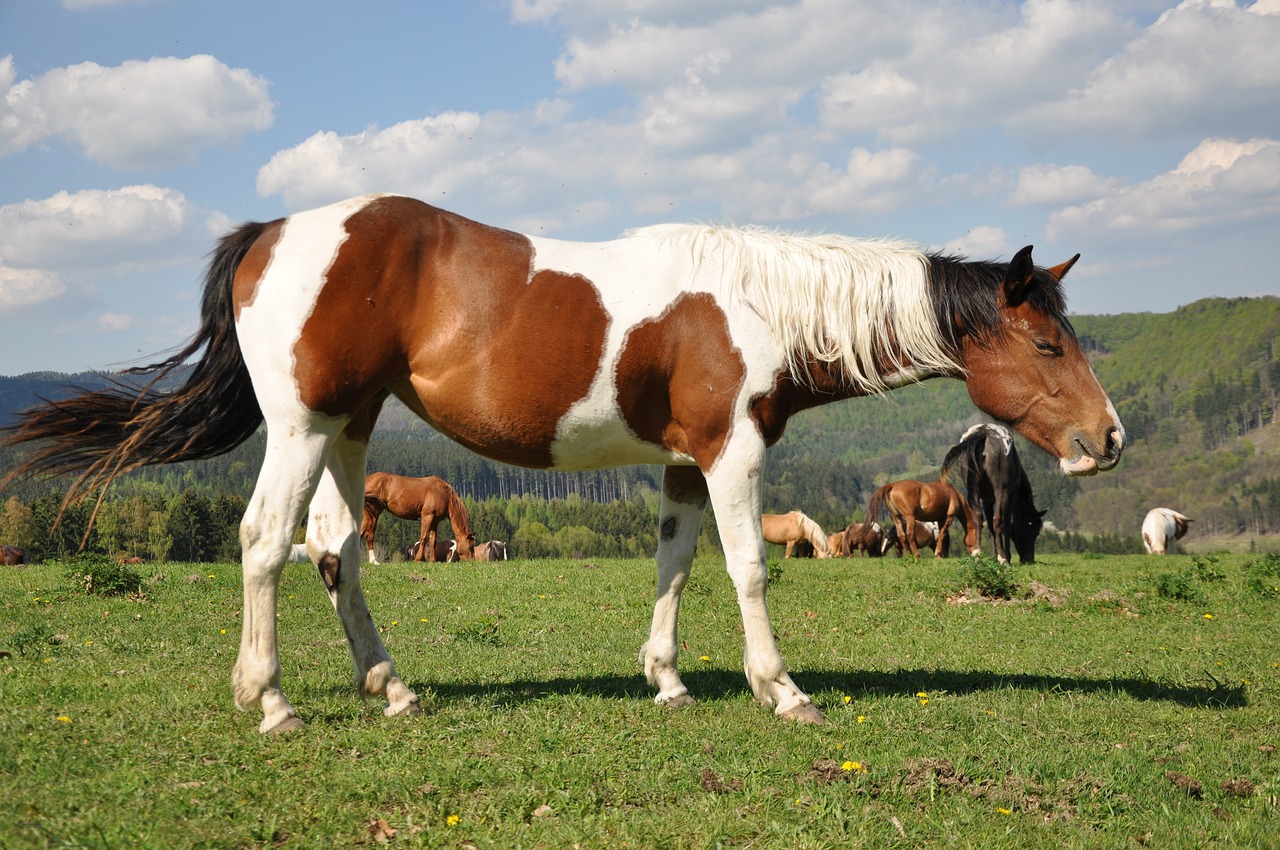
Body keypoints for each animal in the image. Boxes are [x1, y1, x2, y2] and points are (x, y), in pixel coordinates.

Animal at [941, 423, 1046, 564]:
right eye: (1033, 530)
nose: (1029, 559)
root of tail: (984, 433)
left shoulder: (987, 500)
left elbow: (989, 526)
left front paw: (993, 555)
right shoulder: (1011, 496)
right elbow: (1005, 525)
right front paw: (1005, 556)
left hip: (972, 491)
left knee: (978, 517)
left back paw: (977, 553)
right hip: (1001, 492)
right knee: (998, 520)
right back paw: (1002, 558)